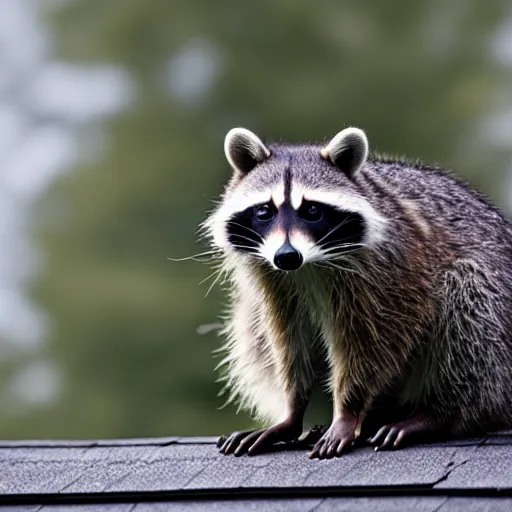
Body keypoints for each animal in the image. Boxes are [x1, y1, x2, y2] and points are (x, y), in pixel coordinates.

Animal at [199, 125, 512, 460]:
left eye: (312, 210)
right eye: (264, 211)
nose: (287, 256)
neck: (308, 266)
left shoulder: (391, 271)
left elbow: (375, 341)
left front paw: (348, 411)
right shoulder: (272, 278)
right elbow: (287, 338)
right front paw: (293, 410)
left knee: (468, 303)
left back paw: (438, 413)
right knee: (254, 327)